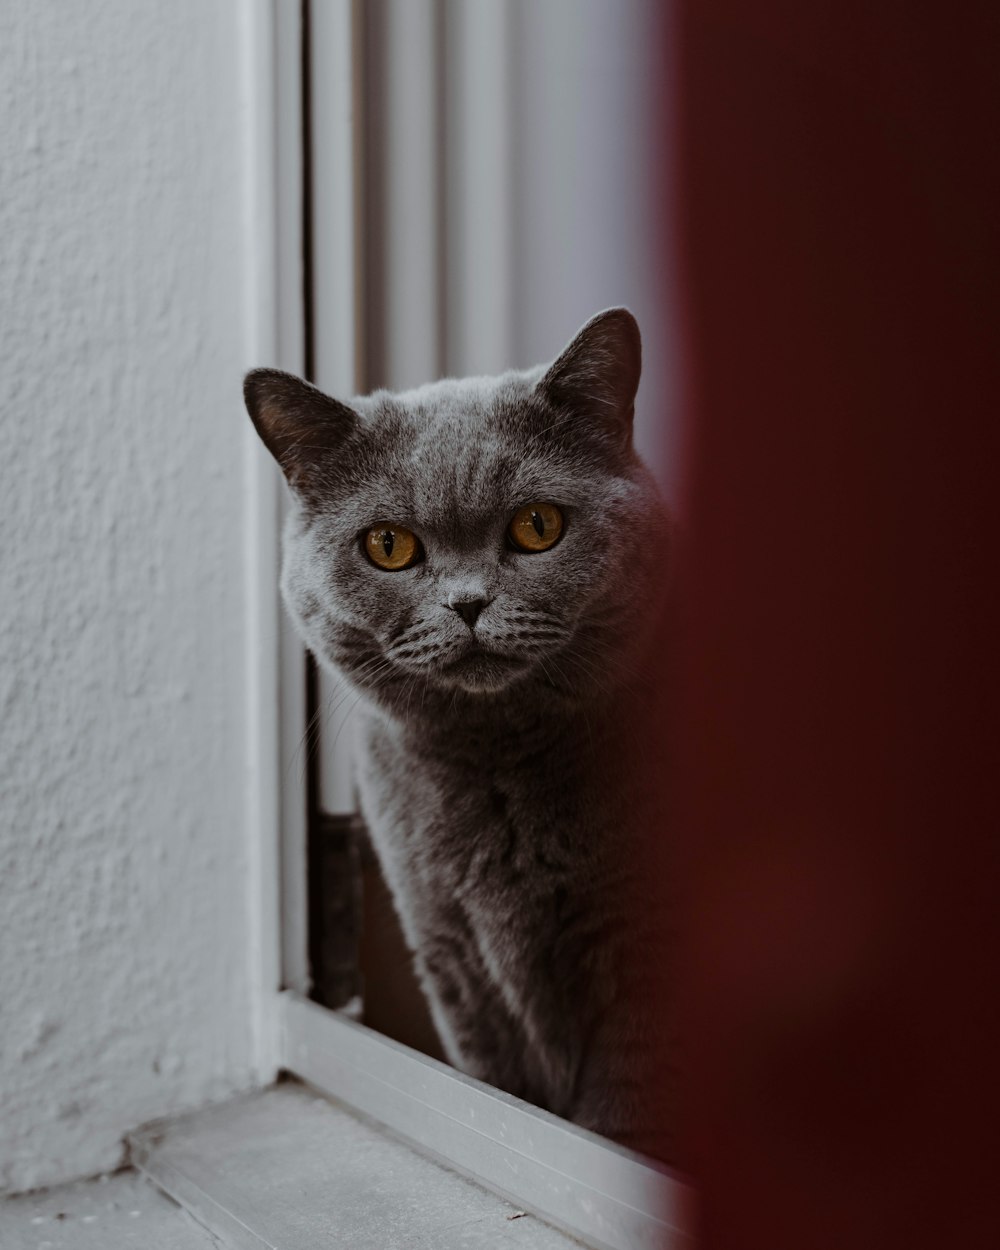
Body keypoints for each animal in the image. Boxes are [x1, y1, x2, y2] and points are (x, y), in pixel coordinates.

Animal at [246, 307, 675, 1155]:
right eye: (388, 545)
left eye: (538, 526)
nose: (470, 604)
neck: (493, 764)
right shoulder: (452, 955)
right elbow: (497, 1091)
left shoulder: (642, 954)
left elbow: (618, 1114)